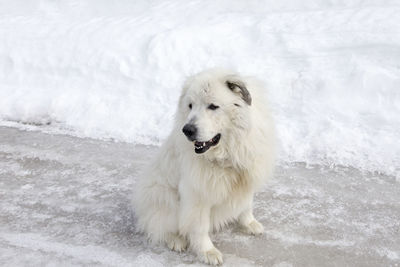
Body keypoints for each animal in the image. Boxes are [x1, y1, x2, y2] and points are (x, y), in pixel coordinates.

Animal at [133, 68, 276, 266]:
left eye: (213, 106)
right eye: (190, 106)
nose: (187, 130)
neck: (226, 153)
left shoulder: (245, 177)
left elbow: (246, 205)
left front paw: (249, 223)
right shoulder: (197, 194)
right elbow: (199, 227)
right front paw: (208, 252)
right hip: (164, 197)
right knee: (158, 227)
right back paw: (176, 240)